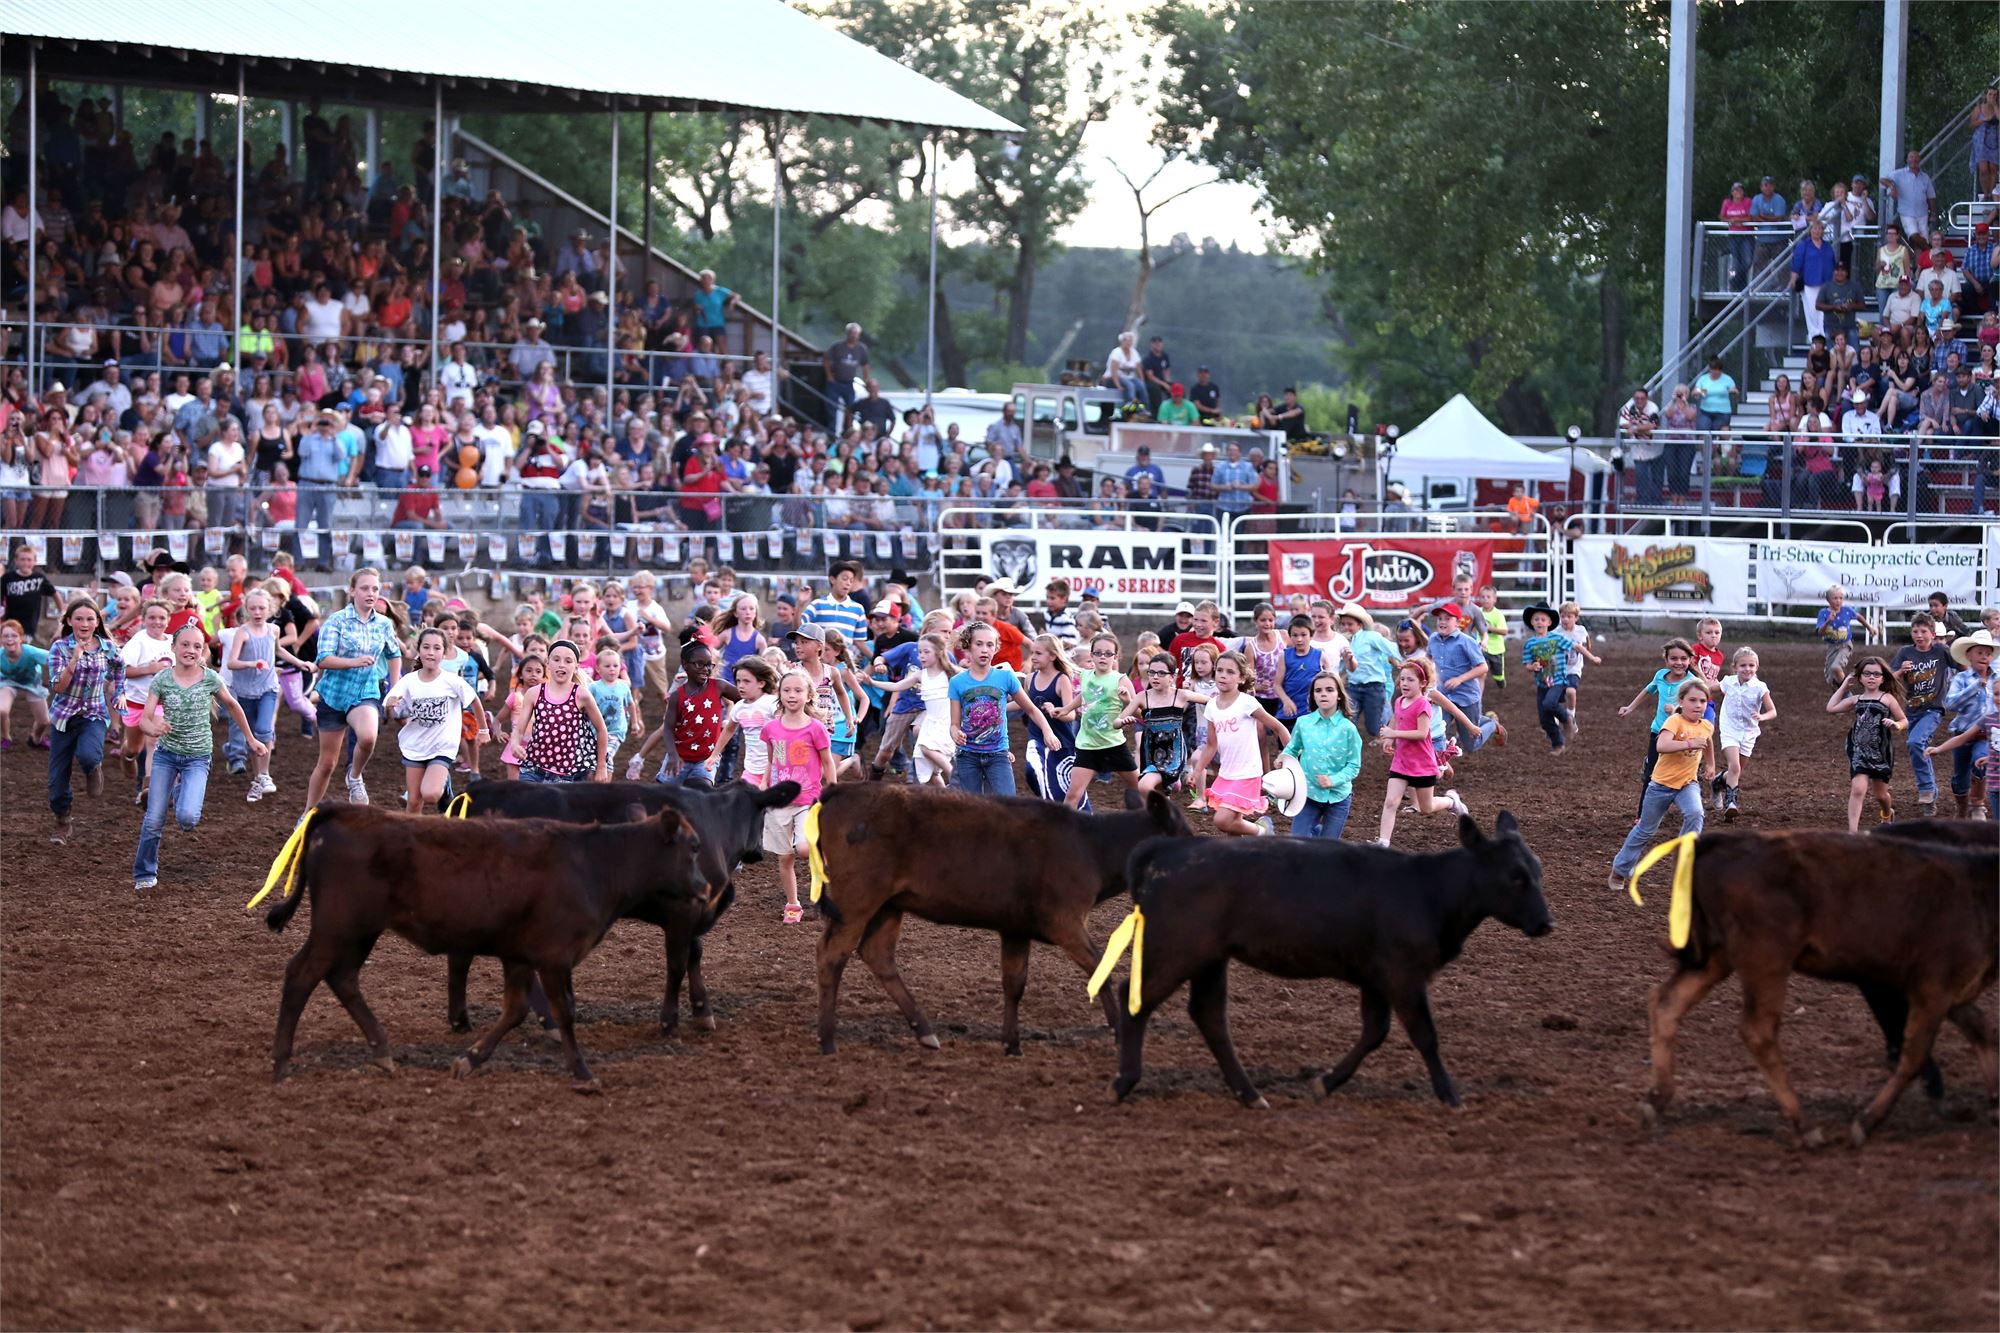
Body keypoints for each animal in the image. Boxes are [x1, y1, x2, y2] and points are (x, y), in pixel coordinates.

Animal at [266, 804, 704, 1088]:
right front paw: (583, 1073)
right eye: (693, 847)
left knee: (343, 978)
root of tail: (342, 812)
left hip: (360, 932)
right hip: (337, 928)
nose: (704, 887)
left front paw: (469, 1060)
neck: (595, 863)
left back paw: (381, 1050)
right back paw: (282, 1062)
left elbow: (515, 1010)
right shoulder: (553, 957)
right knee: (301, 975)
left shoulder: (519, 956)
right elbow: (563, 1013)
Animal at [808, 784, 1184, 1056]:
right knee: (831, 955)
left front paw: (1012, 1043)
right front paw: (1119, 1033)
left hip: (888, 905)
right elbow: (1099, 969)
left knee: (877, 954)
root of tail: (843, 790)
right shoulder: (1065, 922)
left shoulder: (1016, 928)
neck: (1091, 846)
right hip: (857, 901)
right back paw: (827, 1040)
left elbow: (1014, 983)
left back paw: (925, 1032)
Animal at [1640, 820, 2000, 1144]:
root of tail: (1721, 843)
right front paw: (1866, 1123)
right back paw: (1804, 1125)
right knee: (1758, 1032)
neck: (1979, 893)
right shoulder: (1933, 989)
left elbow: (1981, 1030)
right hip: (1766, 960)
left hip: (1717, 957)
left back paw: (1657, 1099)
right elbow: (1915, 1054)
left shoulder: (1952, 992)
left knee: (1668, 1003)